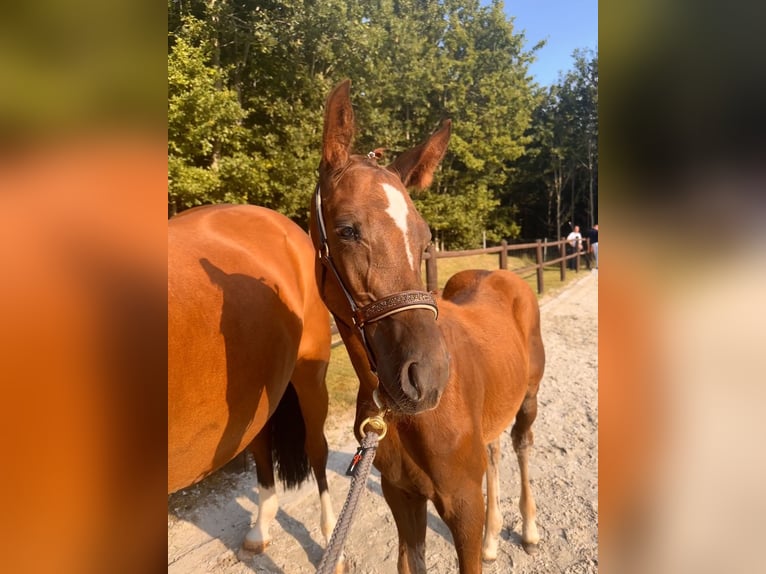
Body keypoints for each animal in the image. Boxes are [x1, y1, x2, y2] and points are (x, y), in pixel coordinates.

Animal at [310, 81, 545, 574]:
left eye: (424, 238)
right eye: (346, 230)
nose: (428, 378)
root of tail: (502, 274)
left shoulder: (463, 503)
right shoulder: (402, 496)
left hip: (529, 398)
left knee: (521, 445)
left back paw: (529, 529)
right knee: (494, 451)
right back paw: (495, 537)